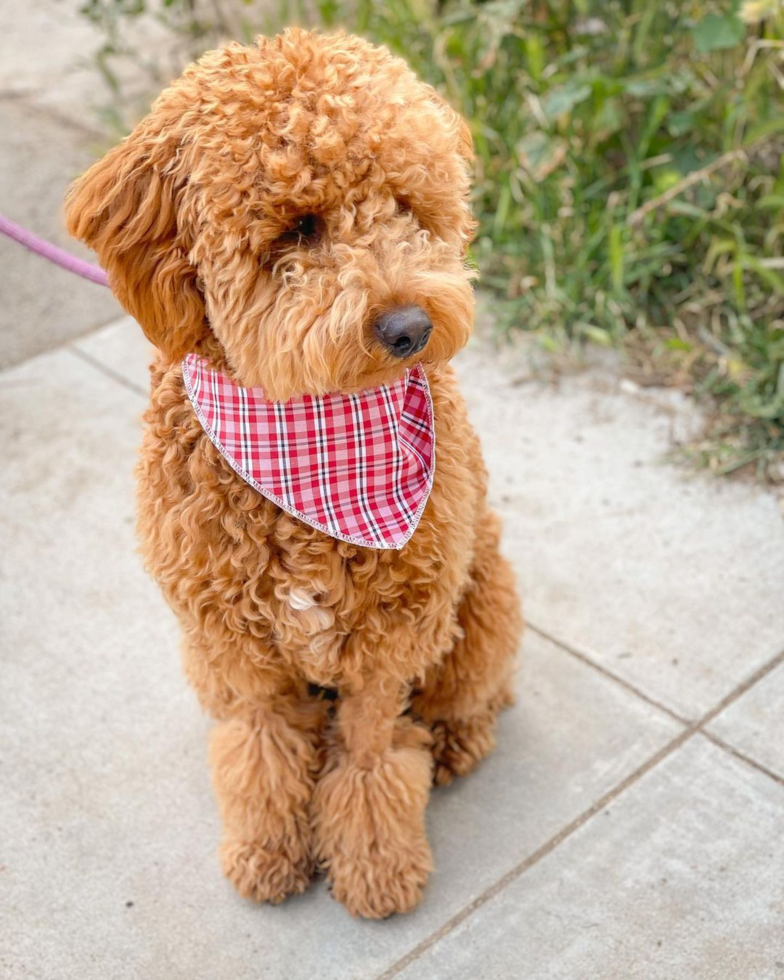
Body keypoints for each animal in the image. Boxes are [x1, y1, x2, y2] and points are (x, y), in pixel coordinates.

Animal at [66, 28, 520, 920]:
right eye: (300, 226)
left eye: (406, 207)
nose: (411, 327)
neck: (310, 438)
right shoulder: (235, 644)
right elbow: (262, 748)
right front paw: (268, 850)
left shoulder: (391, 638)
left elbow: (373, 757)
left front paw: (375, 865)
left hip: (483, 598)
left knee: (469, 695)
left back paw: (456, 739)